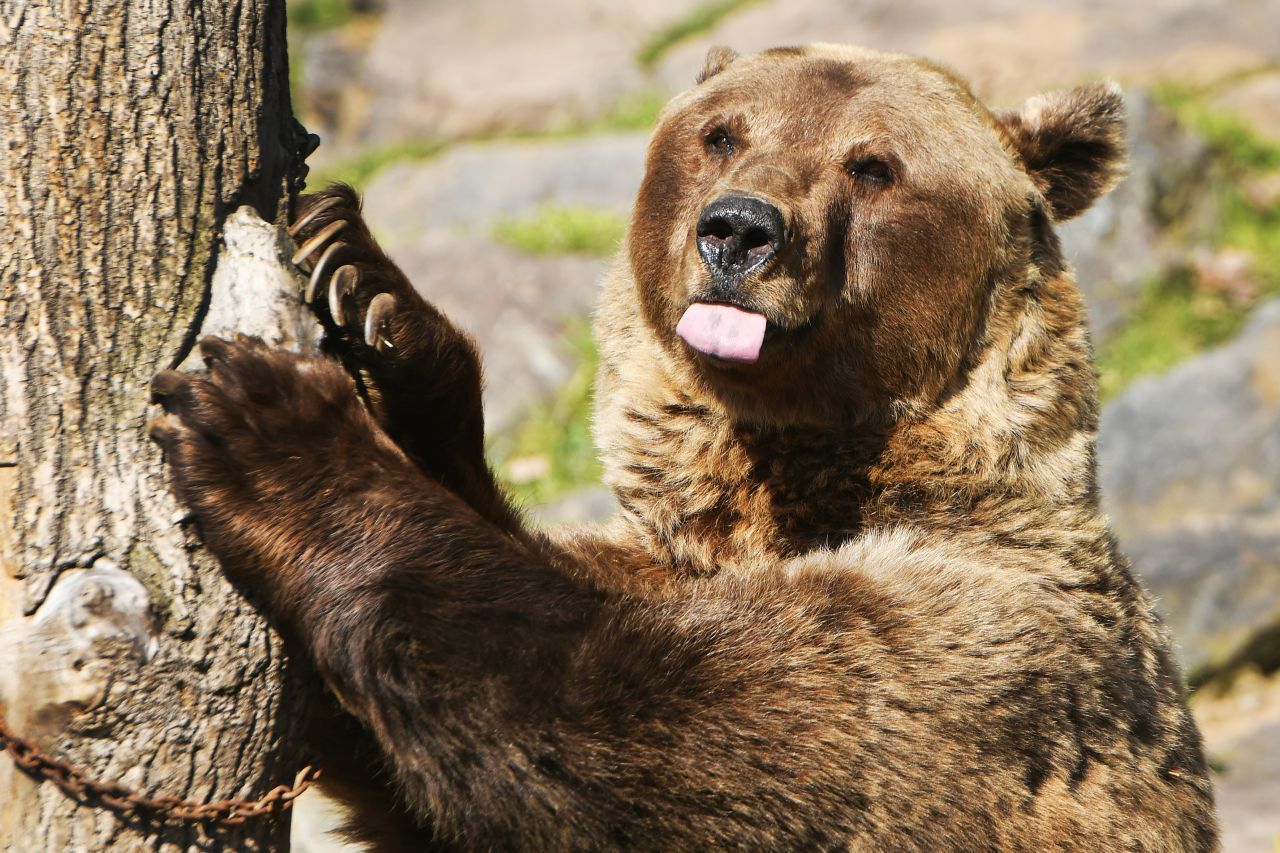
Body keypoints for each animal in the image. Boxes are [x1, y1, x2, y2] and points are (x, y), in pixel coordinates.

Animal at [149, 43, 1218, 845]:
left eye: (873, 165)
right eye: (721, 134)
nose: (739, 230)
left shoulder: (980, 649)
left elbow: (628, 721)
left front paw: (267, 423)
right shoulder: (668, 555)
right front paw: (367, 292)